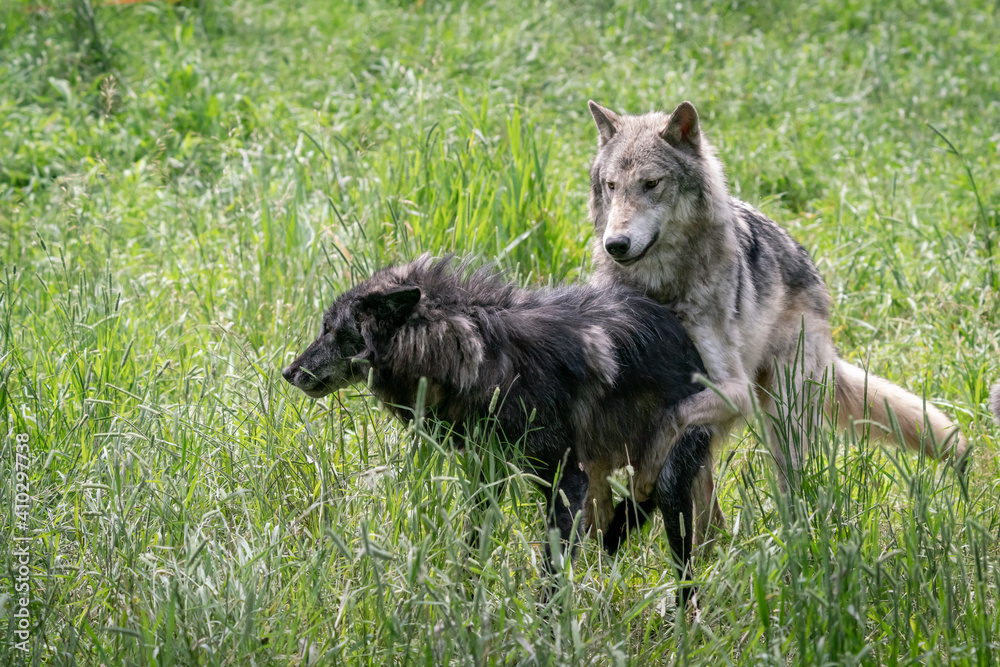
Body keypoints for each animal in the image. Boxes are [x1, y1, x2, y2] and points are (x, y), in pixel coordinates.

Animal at [282, 256, 714, 592]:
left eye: (333, 332)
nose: (288, 373)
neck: (477, 353)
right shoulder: (487, 475)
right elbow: (474, 545)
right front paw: (464, 603)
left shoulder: (567, 481)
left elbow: (552, 577)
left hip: (669, 486)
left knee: (684, 569)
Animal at [585, 100, 968, 535]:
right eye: (611, 186)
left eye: (651, 184)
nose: (615, 244)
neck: (662, 291)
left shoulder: (735, 391)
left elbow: (669, 420)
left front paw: (643, 478)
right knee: (710, 510)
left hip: (784, 419)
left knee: (789, 488)